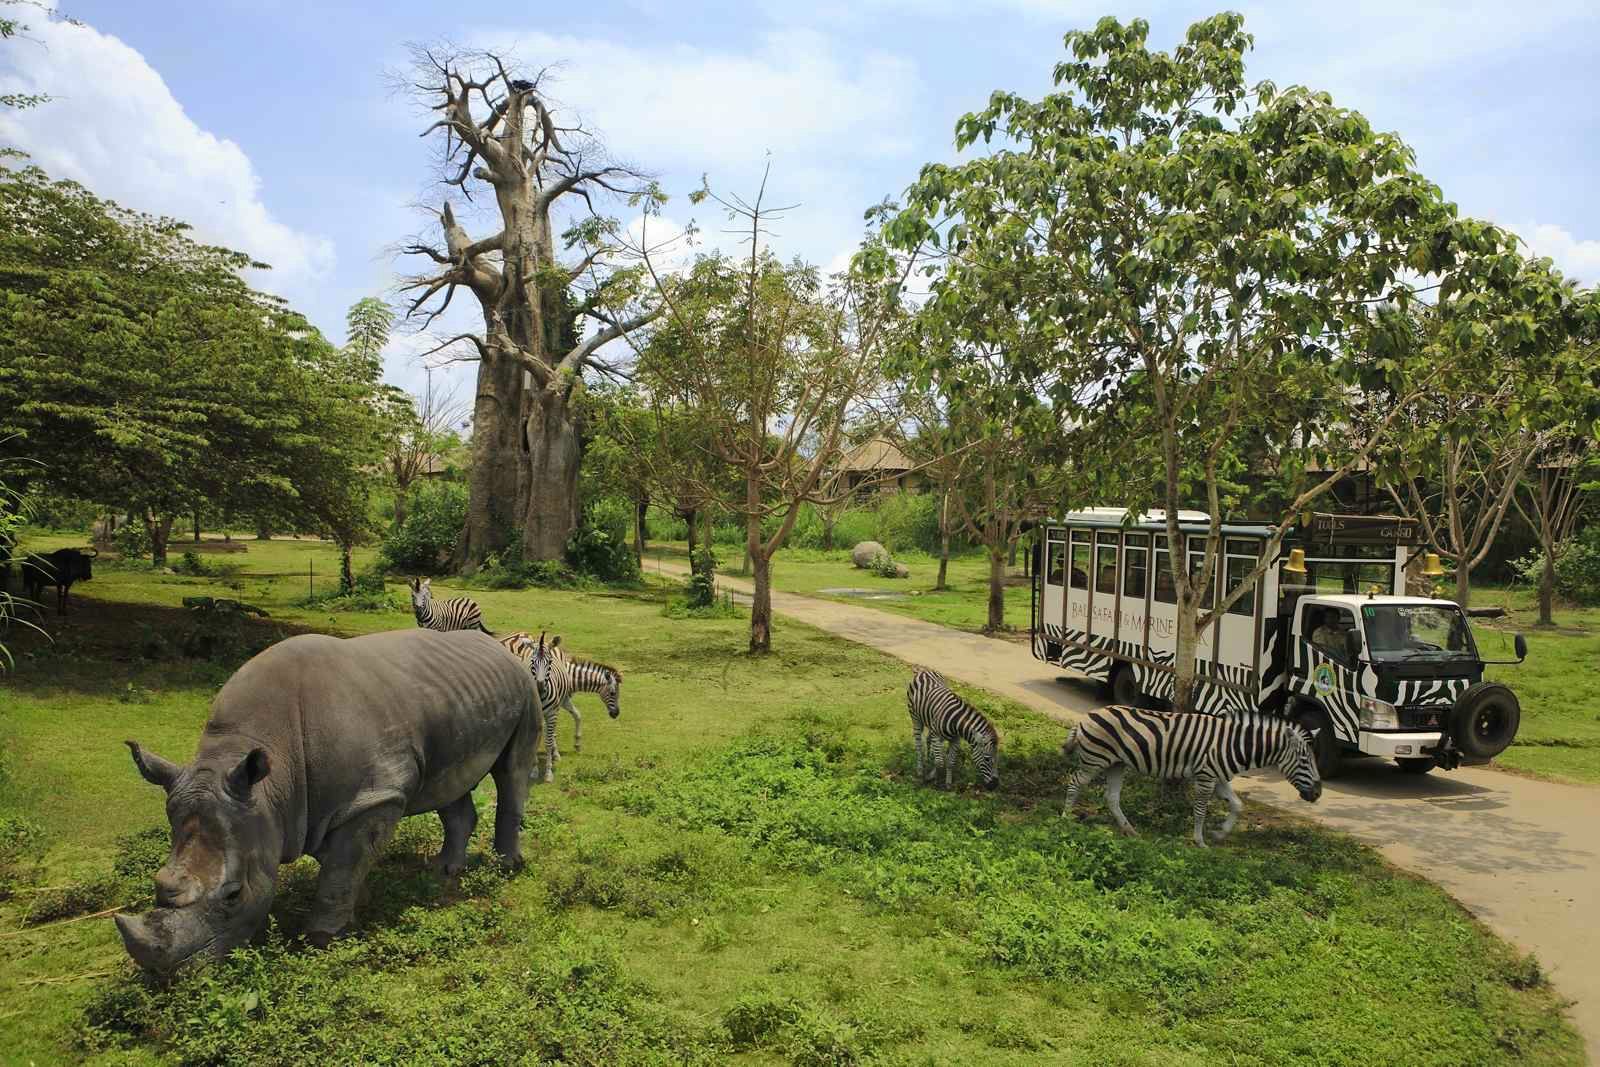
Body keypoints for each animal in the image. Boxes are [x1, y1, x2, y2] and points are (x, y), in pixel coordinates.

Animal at [1062, 710, 1324, 851]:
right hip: (1096, 759)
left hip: (1116, 764)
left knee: (1112, 797)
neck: (1234, 744)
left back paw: (1130, 830)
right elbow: (1200, 811)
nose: (1318, 794)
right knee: (1074, 781)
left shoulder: (1219, 778)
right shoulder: (1206, 776)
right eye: (1304, 760)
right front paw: (1200, 841)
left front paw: (1220, 834)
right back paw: (1065, 817)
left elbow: (1238, 805)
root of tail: (1085, 718)